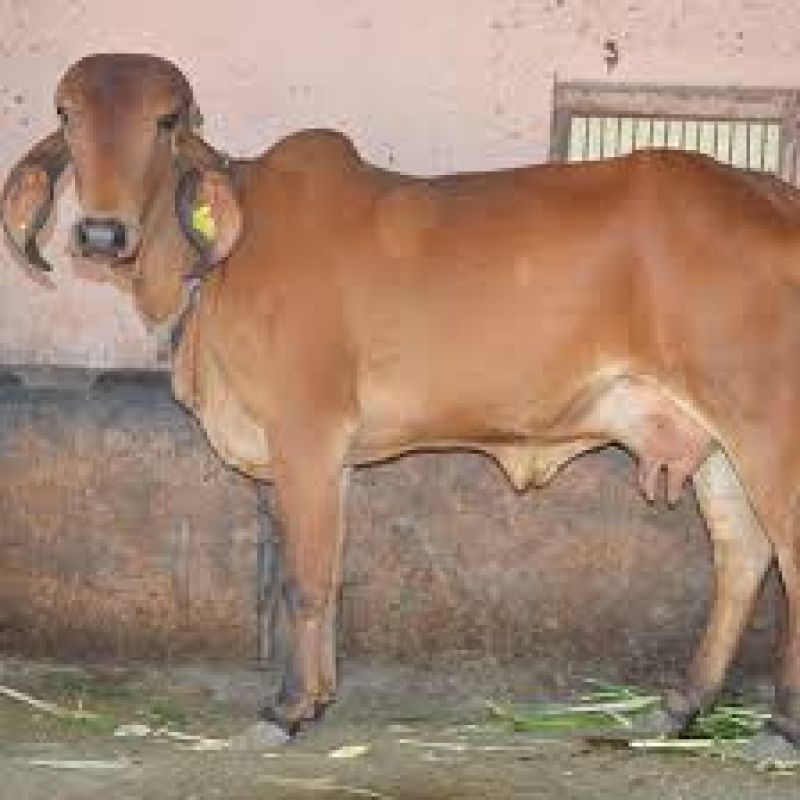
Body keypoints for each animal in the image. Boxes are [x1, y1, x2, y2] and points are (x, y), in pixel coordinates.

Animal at [3, 53, 800, 743]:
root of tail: (773, 191)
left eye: (167, 119)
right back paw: (682, 704)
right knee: (742, 555)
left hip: (766, 426)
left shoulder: (306, 432)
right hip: (715, 442)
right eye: (66, 113)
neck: (222, 264)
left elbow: (302, 580)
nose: (100, 233)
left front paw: (286, 709)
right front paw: (319, 697)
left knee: (786, 553)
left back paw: (778, 727)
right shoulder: (334, 460)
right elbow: (328, 574)